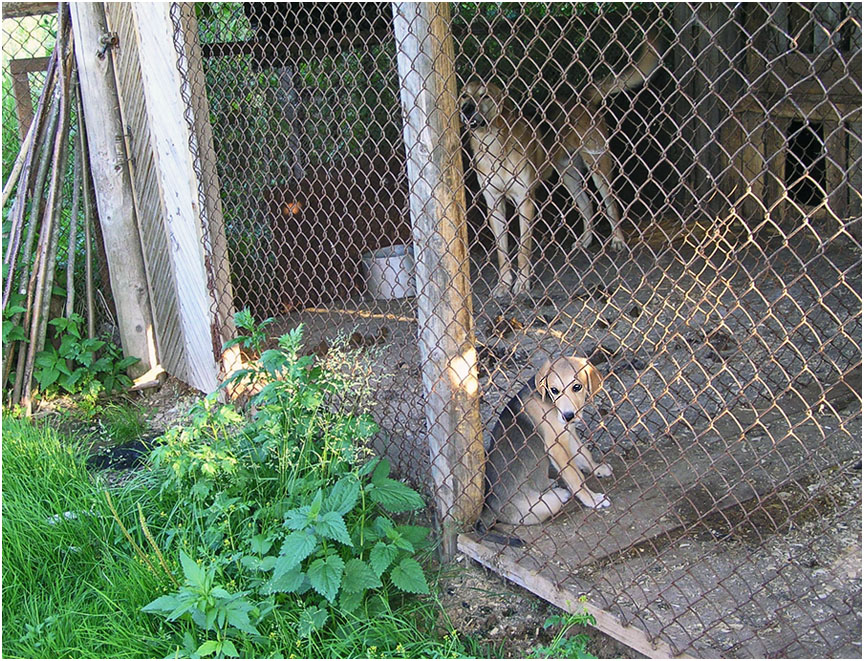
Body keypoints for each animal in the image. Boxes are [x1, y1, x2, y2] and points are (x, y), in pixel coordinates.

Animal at [462, 33, 660, 296]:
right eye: (465, 95)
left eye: (485, 96)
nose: (466, 109)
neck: (492, 145)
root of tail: (582, 99)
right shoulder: (494, 202)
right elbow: (502, 252)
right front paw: (503, 284)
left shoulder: (524, 200)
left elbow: (523, 249)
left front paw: (522, 283)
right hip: (569, 174)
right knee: (587, 205)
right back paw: (585, 240)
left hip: (599, 167)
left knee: (611, 205)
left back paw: (618, 240)